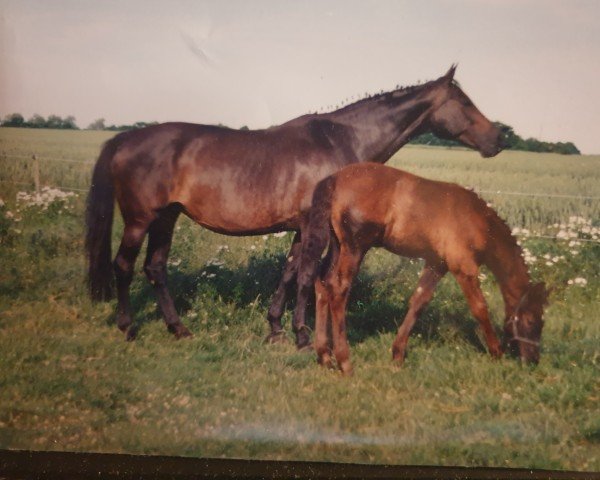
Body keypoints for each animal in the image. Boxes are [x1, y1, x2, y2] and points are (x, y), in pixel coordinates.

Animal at [86, 64, 504, 344]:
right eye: (465, 102)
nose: (498, 139)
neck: (341, 140)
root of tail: (124, 139)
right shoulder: (319, 227)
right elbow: (309, 275)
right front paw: (303, 335)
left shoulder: (301, 227)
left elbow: (289, 273)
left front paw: (275, 329)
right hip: (140, 220)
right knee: (123, 266)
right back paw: (128, 327)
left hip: (166, 218)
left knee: (155, 268)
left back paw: (178, 328)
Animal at [292, 163, 548, 374]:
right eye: (532, 321)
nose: (533, 360)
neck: (476, 218)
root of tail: (334, 179)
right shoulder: (463, 267)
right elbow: (479, 308)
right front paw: (496, 351)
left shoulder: (437, 264)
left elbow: (419, 301)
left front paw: (397, 354)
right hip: (355, 248)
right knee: (338, 290)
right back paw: (345, 362)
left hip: (337, 245)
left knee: (322, 283)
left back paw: (325, 357)